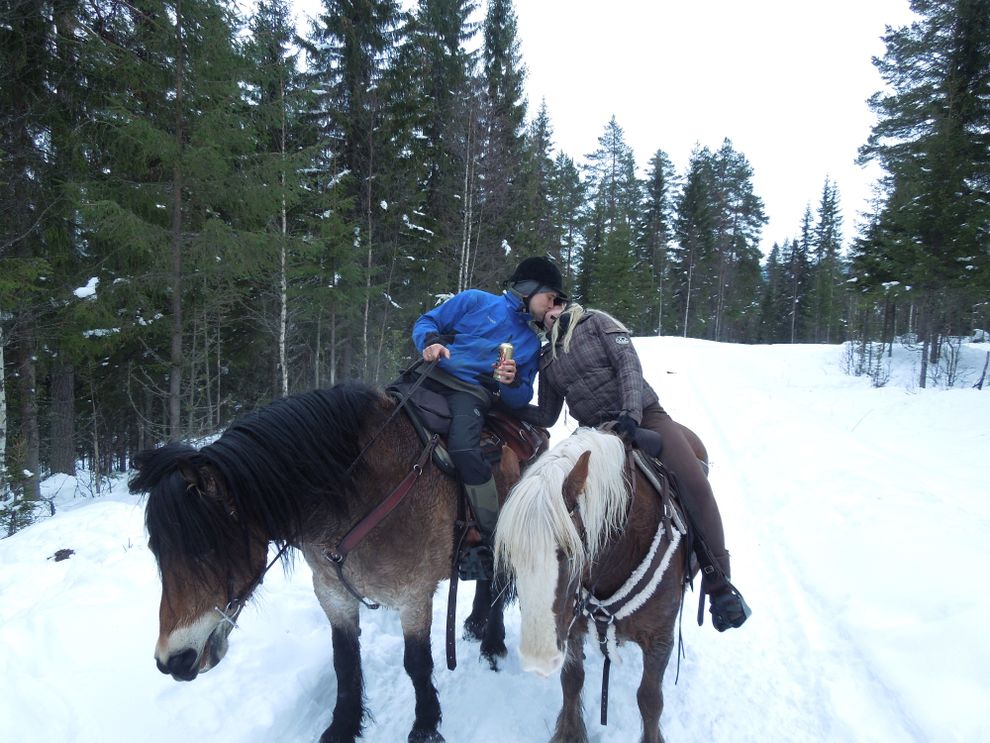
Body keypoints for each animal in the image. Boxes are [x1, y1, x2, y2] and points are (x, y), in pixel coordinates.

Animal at [132, 384, 528, 743]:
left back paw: (492, 644)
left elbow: (417, 664)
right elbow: (345, 661)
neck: (362, 495)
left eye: (205, 550)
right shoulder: (332, 593)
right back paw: (475, 623)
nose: (171, 661)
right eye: (155, 550)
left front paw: (425, 727)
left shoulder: (413, 597)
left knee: (499, 586)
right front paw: (343, 726)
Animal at [496, 428, 696, 743]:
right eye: (511, 554)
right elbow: (571, 680)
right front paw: (570, 732)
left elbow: (650, 700)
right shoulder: (570, 625)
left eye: (570, 551)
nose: (539, 660)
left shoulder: (661, 638)